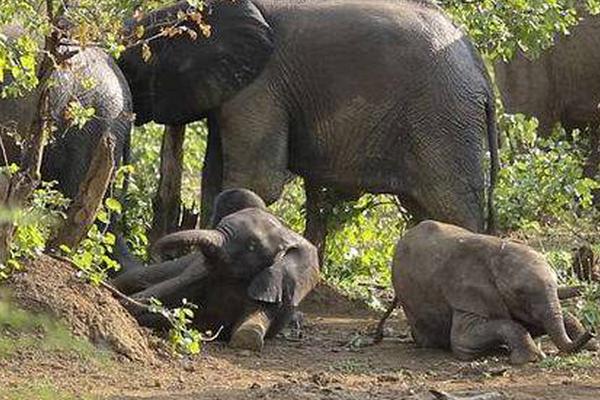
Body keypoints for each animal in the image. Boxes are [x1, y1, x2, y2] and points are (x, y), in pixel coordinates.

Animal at [112, 188, 318, 350]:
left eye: (252, 246)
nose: (158, 252)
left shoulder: (275, 287)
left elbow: (248, 336)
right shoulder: (202, 273)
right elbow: (164, 291)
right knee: (138, 277)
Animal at [390, 220, 596, 364]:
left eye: (556, 285)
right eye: (520, 293)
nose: (592, 332)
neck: (497, 254)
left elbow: (557, 317)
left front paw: (593, 346)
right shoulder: (466, 295)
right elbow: (463, 339)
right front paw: (531, 358)